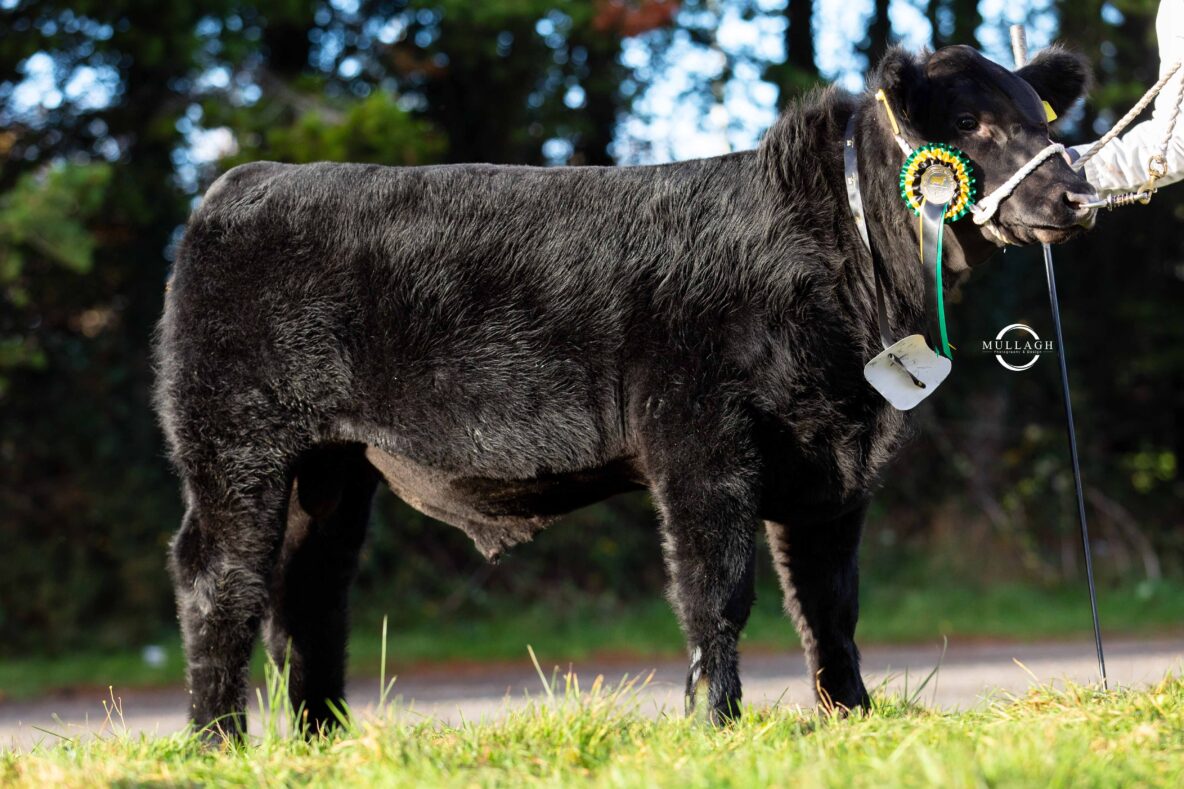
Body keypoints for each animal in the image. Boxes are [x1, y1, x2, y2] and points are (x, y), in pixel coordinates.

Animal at [154, 44, 1095, 738]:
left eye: (1041, 120)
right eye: (969, 123)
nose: (1077, 193)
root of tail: (245, 180)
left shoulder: (836, 458)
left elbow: (829, 599)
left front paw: (853, 717)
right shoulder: (699, 440)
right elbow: (717, 588)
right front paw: (716, 723)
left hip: (332, 467)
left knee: (309, 593)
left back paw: (326, 741)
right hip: (234, 442)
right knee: (219, 579)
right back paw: (214, 740)